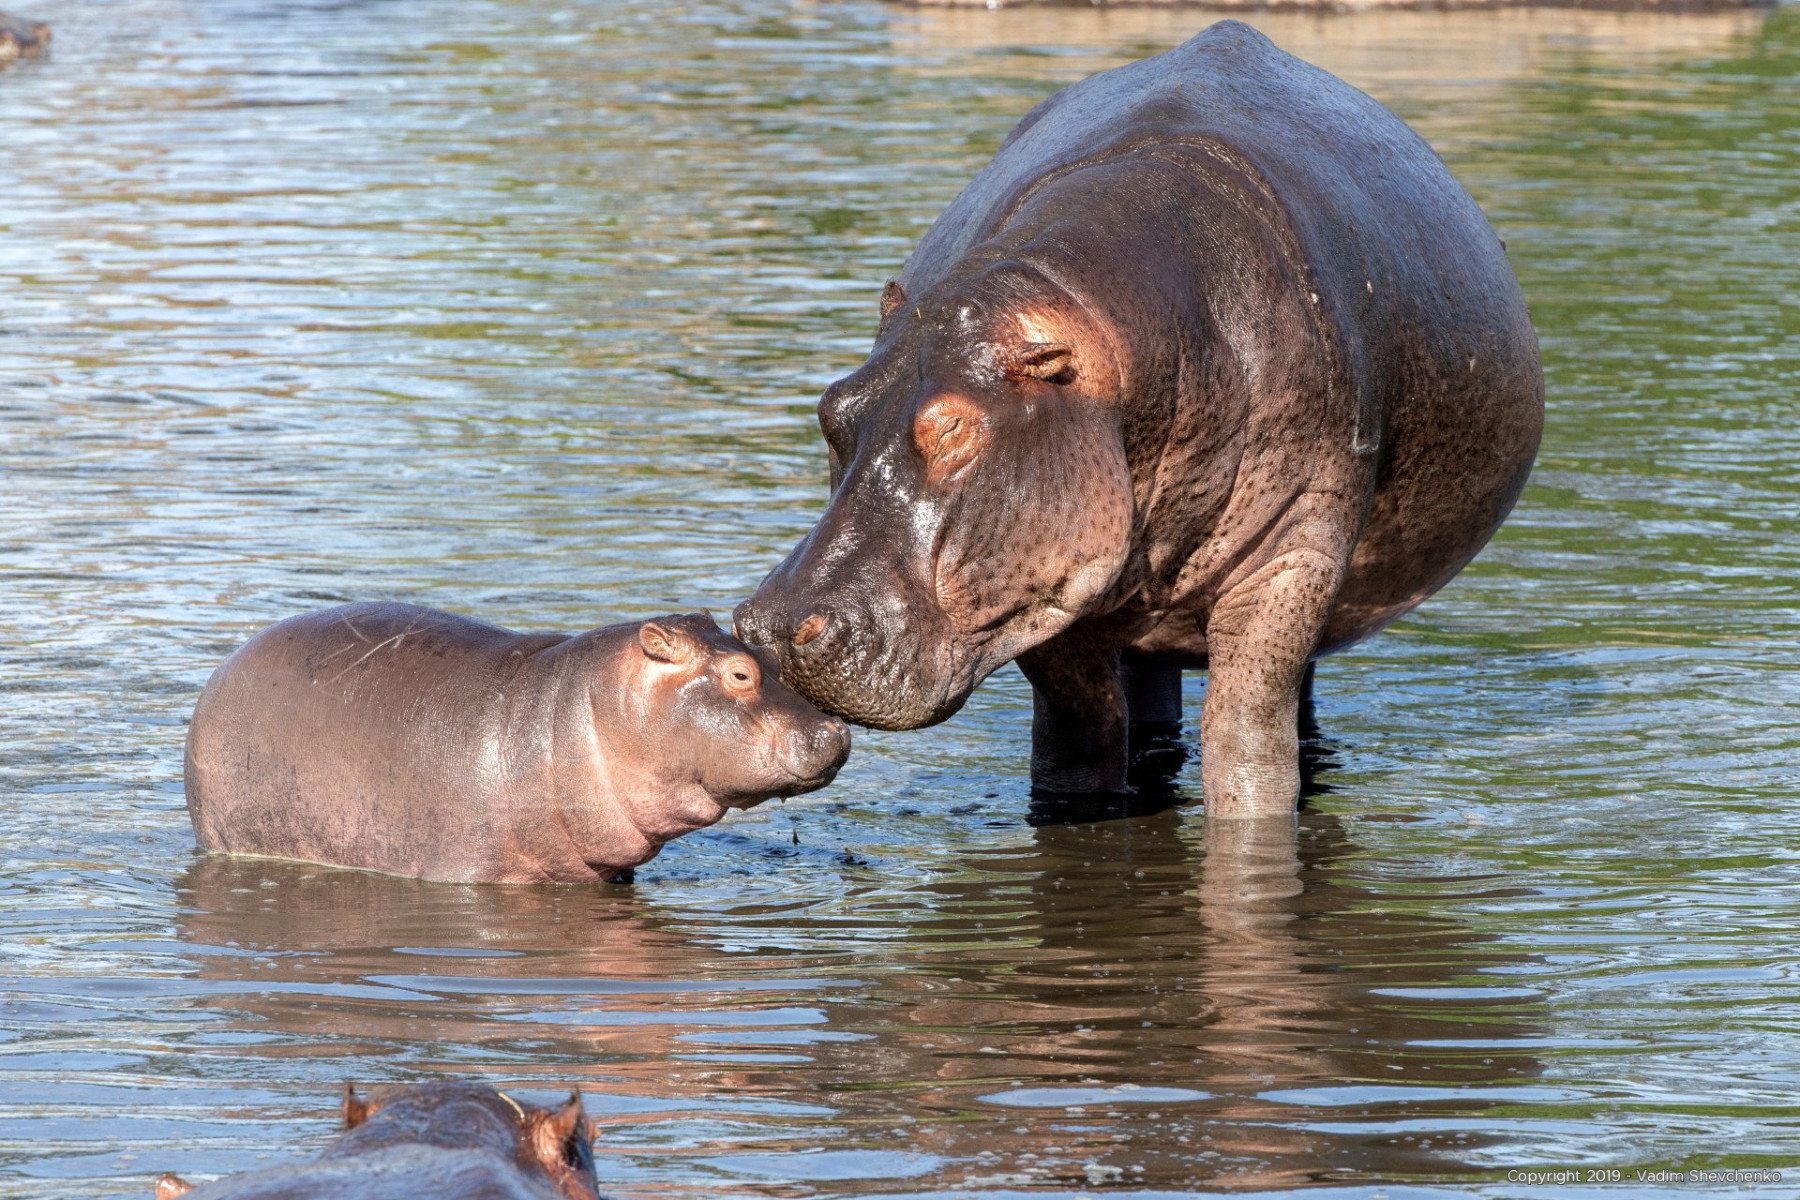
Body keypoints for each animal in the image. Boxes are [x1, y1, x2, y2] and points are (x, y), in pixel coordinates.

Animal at [738, 21, 1540, 816]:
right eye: (832, 407)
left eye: (955, 426)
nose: (770, 627)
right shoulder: (1051, 578)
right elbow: (1079, 735)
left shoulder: (1293, 553)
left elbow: (1247, 739)